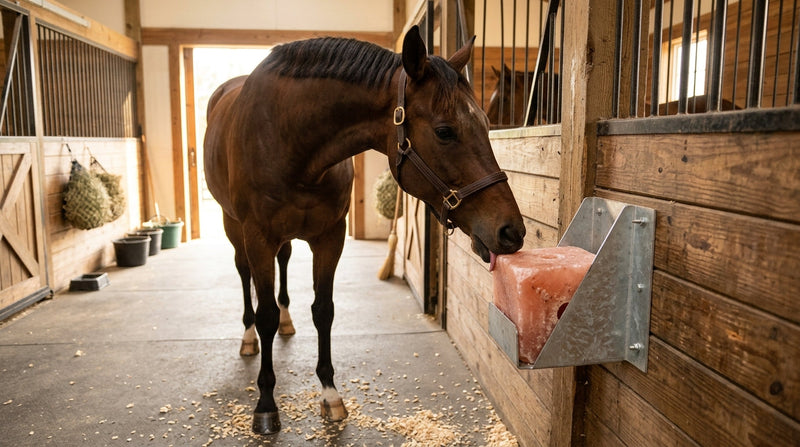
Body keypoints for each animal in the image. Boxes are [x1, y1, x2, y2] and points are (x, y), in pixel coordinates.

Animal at [203, 25, 526, 435]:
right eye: (444, 131)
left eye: (486, 123)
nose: (512, 231)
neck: (289, 139)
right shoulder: (258, 237)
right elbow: (265, 316)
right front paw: (265, 404)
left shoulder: (330, 237)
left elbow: (323, 310)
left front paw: (329, 394)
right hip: (234, 227)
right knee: (244, 277)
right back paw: (248, 339)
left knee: (285, 264)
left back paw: (288, 322)